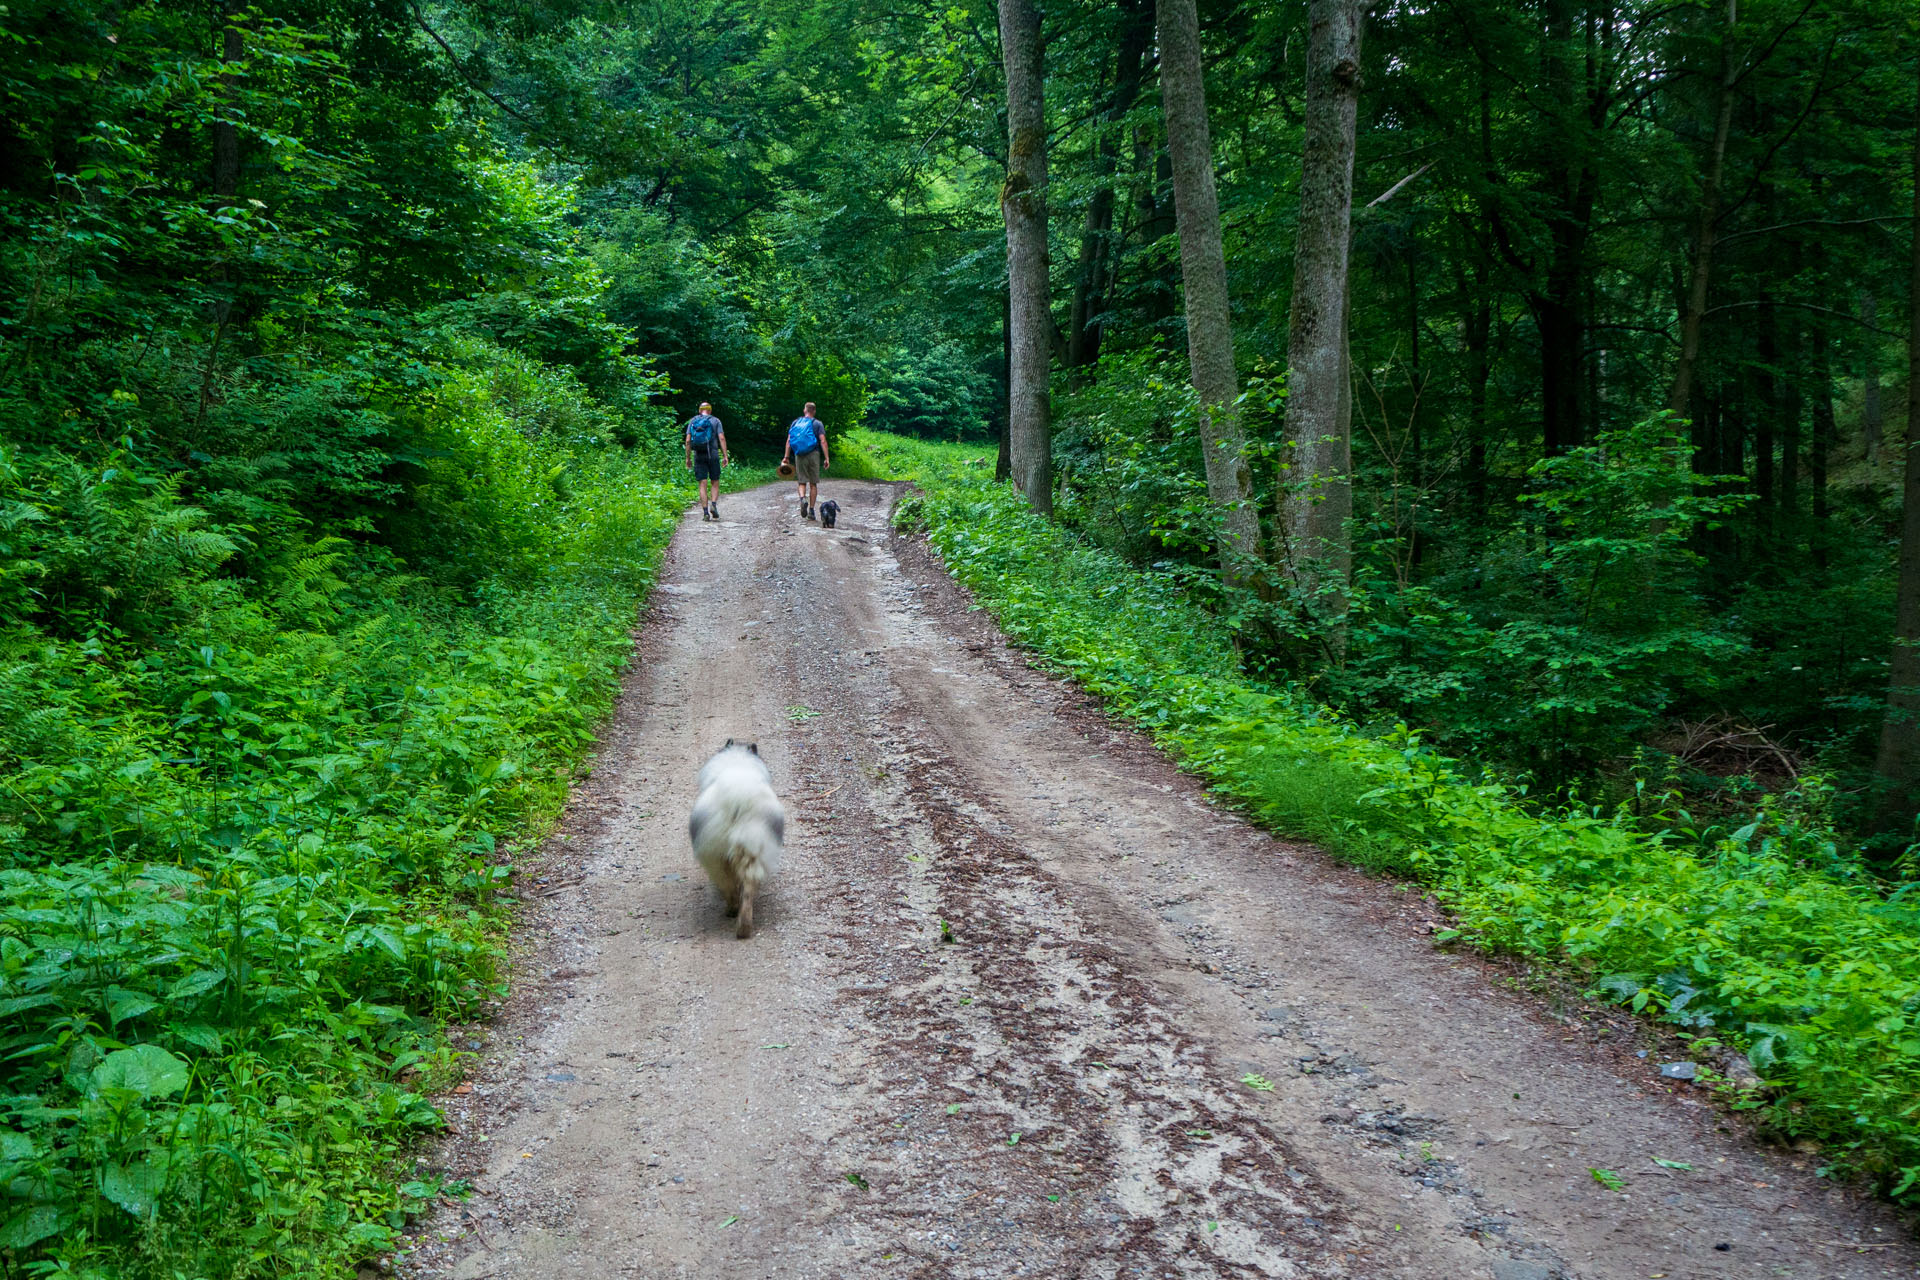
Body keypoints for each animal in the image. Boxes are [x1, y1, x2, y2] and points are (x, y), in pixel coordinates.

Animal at [687, 740, 783, 940]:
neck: (737, 760)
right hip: (753, 851)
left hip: (716, 858)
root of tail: (739, 798)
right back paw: (743, 926)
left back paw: (732, 911)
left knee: (728, 885)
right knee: (747, 890)